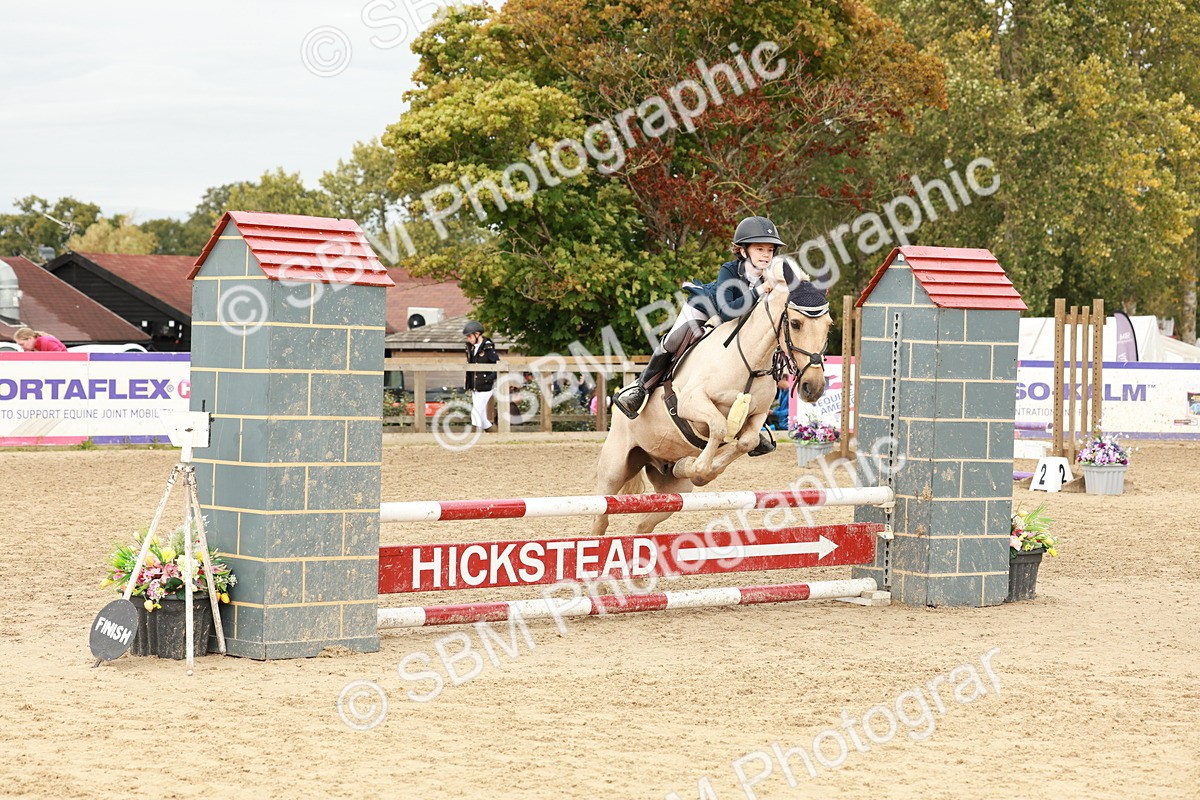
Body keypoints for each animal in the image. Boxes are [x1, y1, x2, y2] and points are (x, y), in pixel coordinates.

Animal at [592, 261, 833, 536]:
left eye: (829, 325)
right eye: (795, 323)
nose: (813, 387)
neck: (750, 361)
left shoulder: (758, 414)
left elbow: (746, 441)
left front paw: (688, 467)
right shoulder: (691, 402)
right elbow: (718, 427)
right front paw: (695, 468)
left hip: (672, 491)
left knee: (644, 524)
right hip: (614, 469)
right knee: (601, 517)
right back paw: (633, 398)